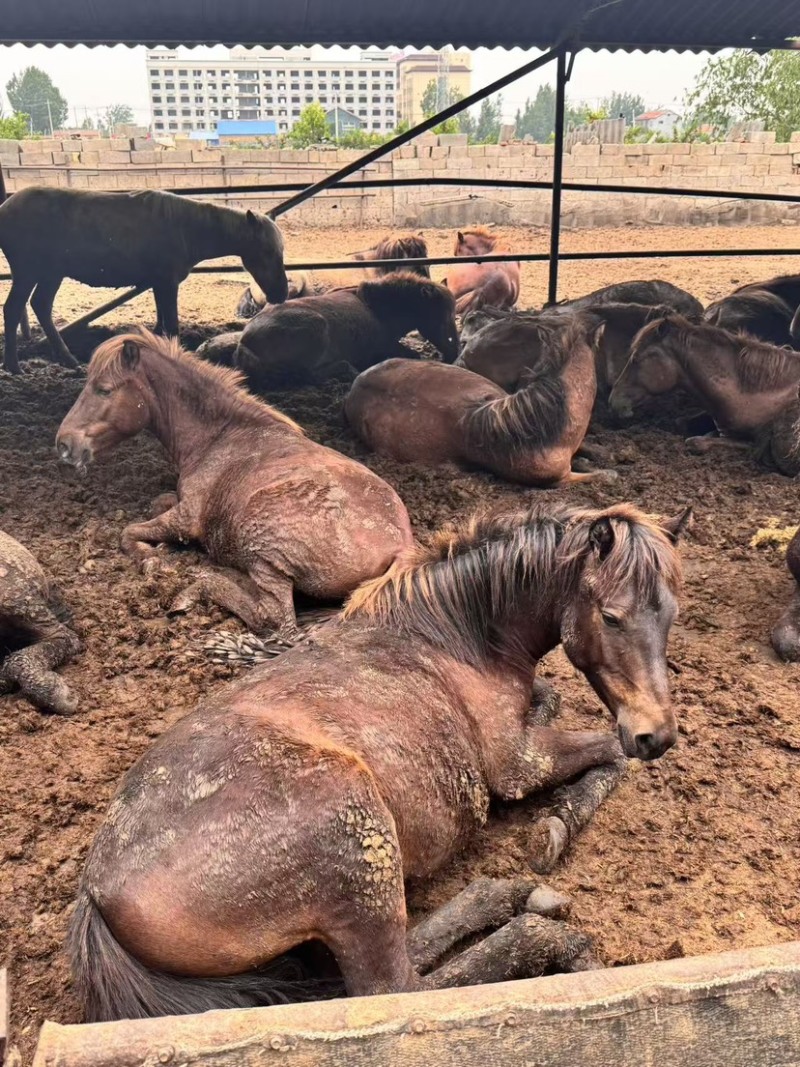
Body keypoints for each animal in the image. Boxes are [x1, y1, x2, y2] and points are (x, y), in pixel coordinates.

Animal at [0, 187, 288, 374]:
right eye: (266, 251)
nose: (281, 293)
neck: (187, 229)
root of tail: (5, 208)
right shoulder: (167, 284)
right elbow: (171, 326)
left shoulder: (158, 284)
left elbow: (160, 328)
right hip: (29, 273)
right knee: (14, 309)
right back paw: (14, 366)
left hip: (51, 273)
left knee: (41, 306)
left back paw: (69, 361)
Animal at [55, 330, 413, 635]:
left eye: (104, 388)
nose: (64, 444)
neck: (220, 436)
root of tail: (401, 547)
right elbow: (159, 502)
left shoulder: (186, 520)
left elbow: (128, 533)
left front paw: (153, 560)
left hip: (261, 546)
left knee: (272, 617)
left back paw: (198, 586)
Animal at [67, 499, 690, 1022]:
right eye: (611, 617)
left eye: (671, 615)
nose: (656, 734)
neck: (455, 635)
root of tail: (98, 894)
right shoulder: (521, 765)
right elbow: (609, 752)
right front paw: (560, 823)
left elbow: (560, 705)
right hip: (356, 833)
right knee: (397, 987)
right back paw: (542, 934)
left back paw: (501, 896)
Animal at [230, 273, 458, 390]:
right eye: (441, 315)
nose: (451, 355)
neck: (376, 307)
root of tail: (245, 342)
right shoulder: (386, 346)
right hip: (317, 329)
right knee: (311, 374)